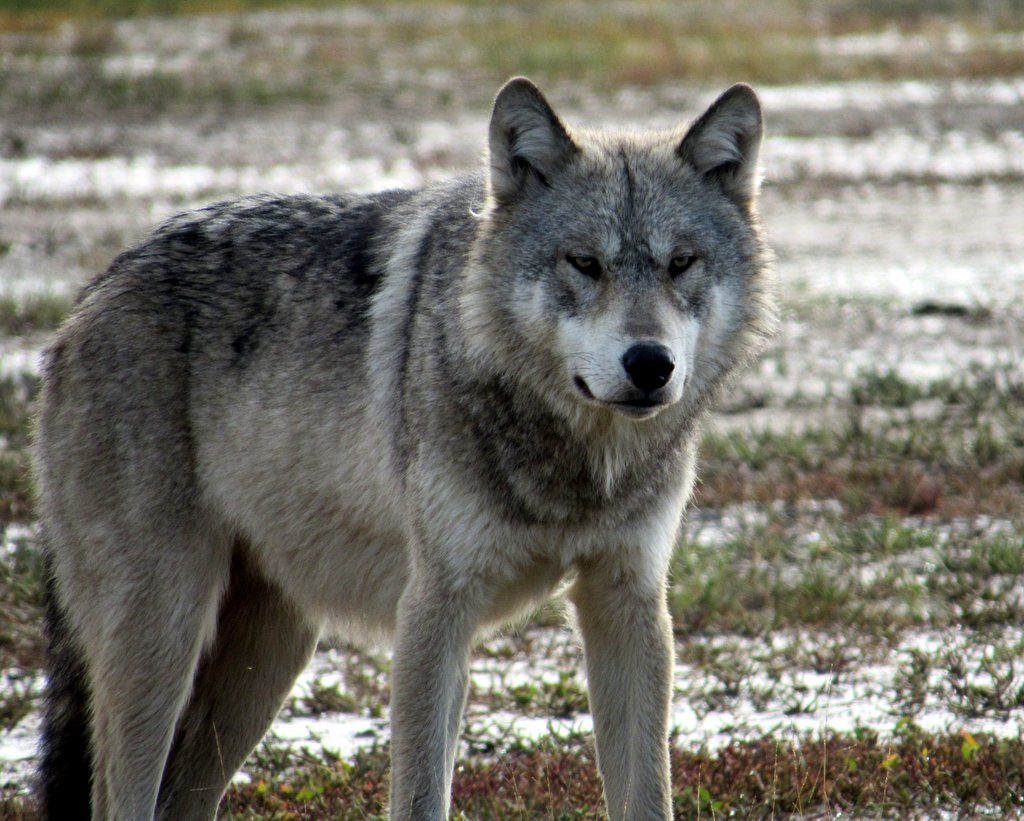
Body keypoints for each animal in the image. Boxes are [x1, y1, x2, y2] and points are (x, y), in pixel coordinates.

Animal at [36, 75, 778, 810]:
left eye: (681, 263)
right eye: (585, 263)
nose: (650, 364)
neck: (572, 467)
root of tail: (90, 296)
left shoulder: (629, 603)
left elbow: (647, 792)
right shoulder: (433, 610)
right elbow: (421, 794)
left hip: (266, 659)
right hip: (164, 638)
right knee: (120, 795)